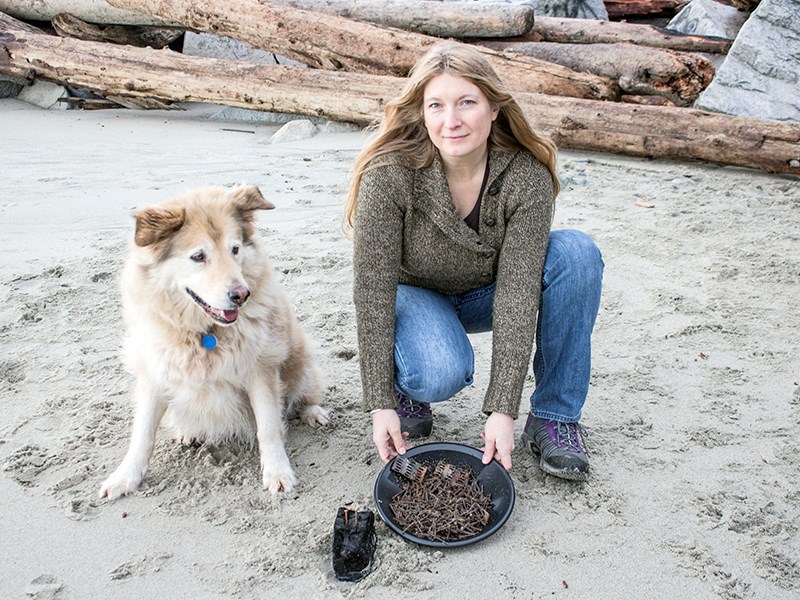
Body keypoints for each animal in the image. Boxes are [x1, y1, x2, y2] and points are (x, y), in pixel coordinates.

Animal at [98, 185, 330, 500]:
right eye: (198, 256)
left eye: (235, 249)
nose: (241, 295)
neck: (203, 332)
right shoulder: (155, 373)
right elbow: (143, 434)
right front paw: (125, 477)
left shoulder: (261, 371)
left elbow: (268, 427)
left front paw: (277, 472)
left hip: (300, 361)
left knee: (304, 396)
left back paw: (313, 413)